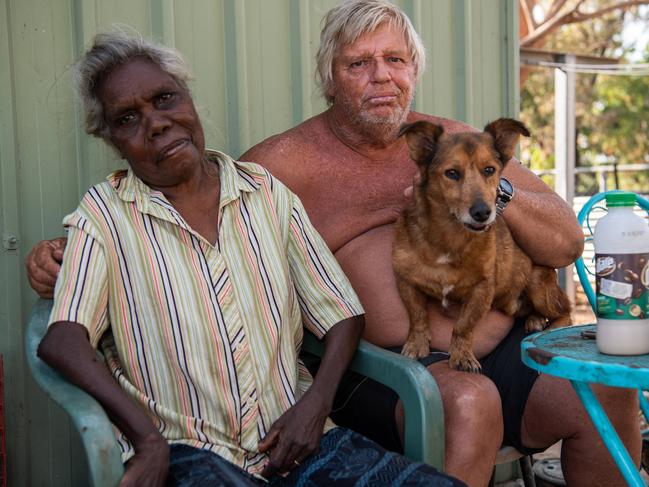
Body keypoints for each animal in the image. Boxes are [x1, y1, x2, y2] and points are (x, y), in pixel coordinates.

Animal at [392, 118, 568, 374]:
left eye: (489, 170)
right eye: (452, 173)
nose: (483, 212)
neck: (450, 236)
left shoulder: (482, 289)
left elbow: (463, 325)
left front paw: (462, 355)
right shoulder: (406, 281)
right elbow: (418, 316)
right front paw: (416, 345)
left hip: (539, 287)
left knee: (567, 310)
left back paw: (552, 327)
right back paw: (534, 319)